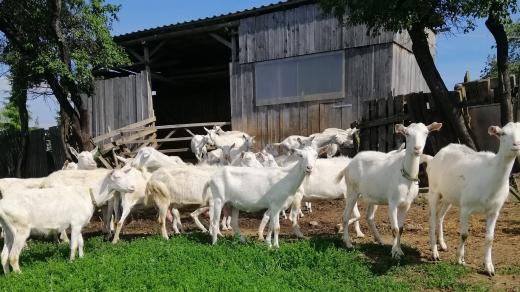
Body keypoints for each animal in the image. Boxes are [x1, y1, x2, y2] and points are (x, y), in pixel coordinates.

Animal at [0, 169, 134, 274]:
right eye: (117, 177)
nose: (133, 188)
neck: (88, 194)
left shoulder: (78, 224)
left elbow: (81, 243)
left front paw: (82, 259)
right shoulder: (76, 223)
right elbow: (73, 245)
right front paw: (71, 262)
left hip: (8, 230)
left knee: (4, 255)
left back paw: (7, 275)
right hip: (20, 229)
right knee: (13, 256)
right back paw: (20, 275)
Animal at [342, 122, 442, 258]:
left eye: (426, 132)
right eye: (407, 133)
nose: (417, 149)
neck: (405, 177)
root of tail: (351, 161)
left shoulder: (406, 205)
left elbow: (401, 228)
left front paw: (399, 249)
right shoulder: (393, 203)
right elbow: (395, 228)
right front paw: (395, 253)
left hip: (372, 196)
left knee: (369, 217)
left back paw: (379, 240)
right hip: (352, 189)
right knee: (346, 216)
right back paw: (348, 243)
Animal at [426, 122, 520, 276]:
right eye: (503, 133)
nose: (516, 145)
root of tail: (435, 156)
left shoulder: (494, 211)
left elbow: (490, 238)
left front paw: (489, 267)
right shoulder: (466, 206)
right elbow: (464, 234)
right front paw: (460, 259)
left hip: (448, 196)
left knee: (440, 216)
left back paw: (443, 244)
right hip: (433, 190)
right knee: (432, 219)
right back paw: (435, 253)